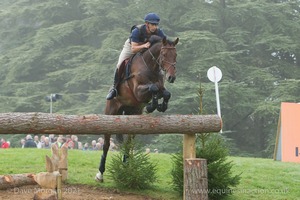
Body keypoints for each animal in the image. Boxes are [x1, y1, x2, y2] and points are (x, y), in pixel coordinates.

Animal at [95, 35, 178, 182]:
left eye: (175, 55)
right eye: (163, 54)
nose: (171, 77)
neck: (150, 66)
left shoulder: (155, 89)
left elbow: (164, 92)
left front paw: (160, 105)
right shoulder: (138, 91)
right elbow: (154, 88)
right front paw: (152, 106)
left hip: (134, 115)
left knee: (128, 143)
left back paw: (126, 166)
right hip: (110, 113)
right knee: (106, 145)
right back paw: (100, 173)